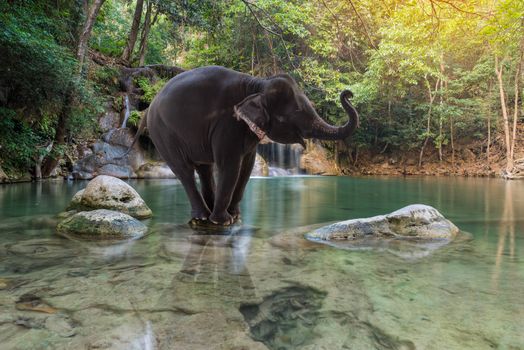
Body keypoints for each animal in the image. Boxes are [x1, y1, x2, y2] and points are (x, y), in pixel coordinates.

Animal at [141, 66, 358, 226]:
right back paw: (203, 217)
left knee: (204, 169)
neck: (257, 84)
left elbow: (246, 167)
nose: (349, 93)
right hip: (163, 134)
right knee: (184, 171)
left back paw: (208, 213)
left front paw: (235, 216)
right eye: (292, 115)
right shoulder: (227, 124)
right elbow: (230, 166)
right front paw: (224, 221)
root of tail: (150, 106)